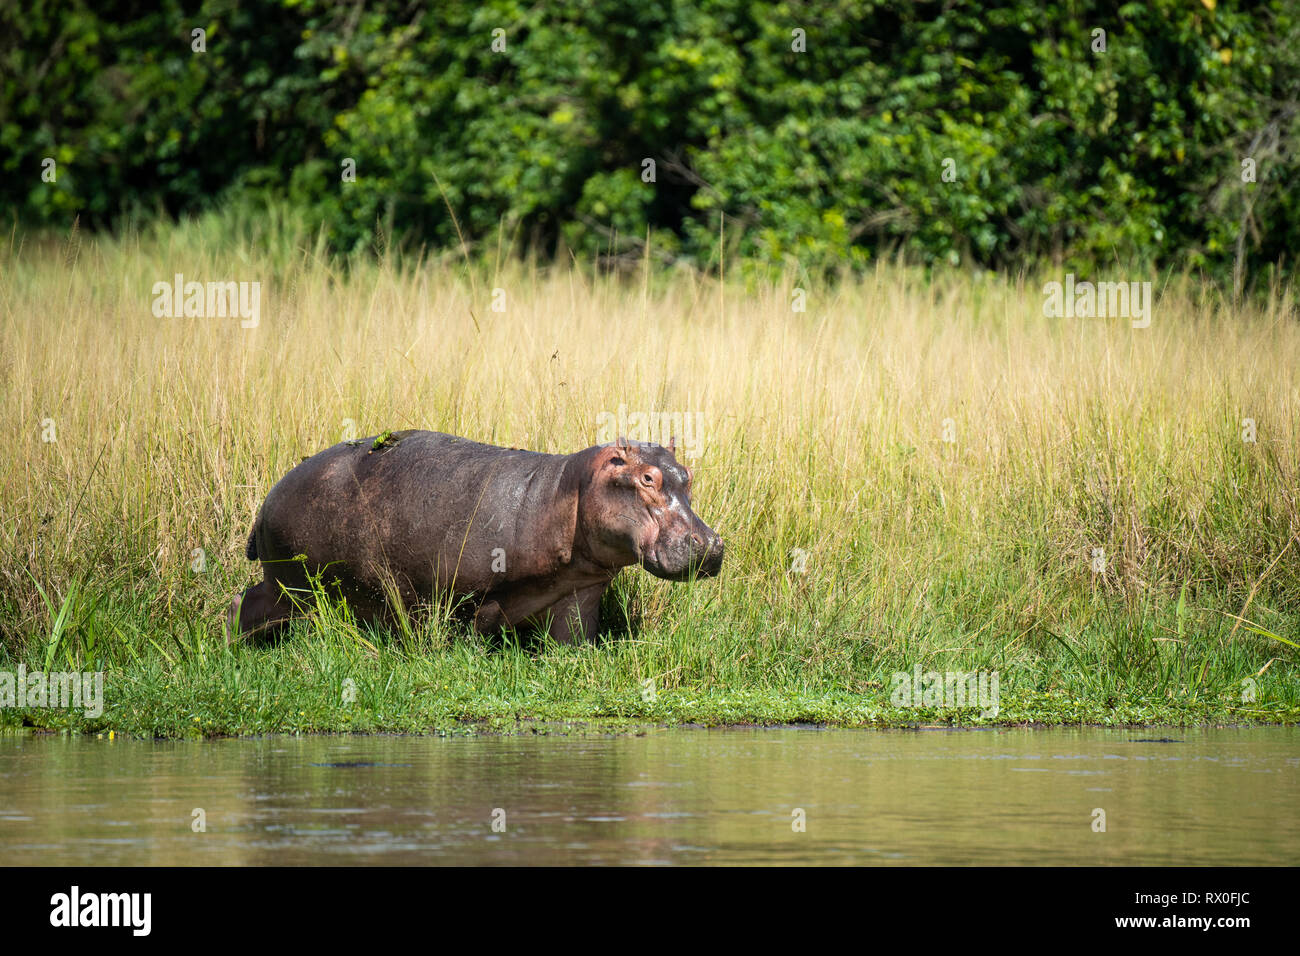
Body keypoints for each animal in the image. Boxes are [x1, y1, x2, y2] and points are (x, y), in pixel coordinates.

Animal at [228, 431, 728, 642]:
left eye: (687, 474)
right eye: (647, 478)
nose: (710, 544)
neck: (564, 487)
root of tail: (267, 500)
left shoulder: (579, 591)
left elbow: (573, 640)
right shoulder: (461, 595)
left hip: (286, 586)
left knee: (246, 602)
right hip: (298, 584)